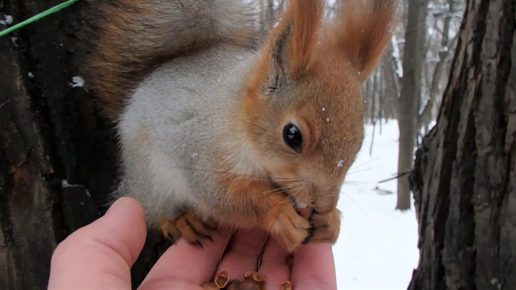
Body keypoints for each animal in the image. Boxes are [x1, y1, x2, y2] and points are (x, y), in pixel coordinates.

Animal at [79, 0, 396, 251]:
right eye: (292, 135)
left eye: (359, 142)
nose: (324, 204)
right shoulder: (203, 149)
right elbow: (224, 196)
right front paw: (280, 214)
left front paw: (330, 222)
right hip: (149, 179)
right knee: (154, 210)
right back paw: (181, 221)